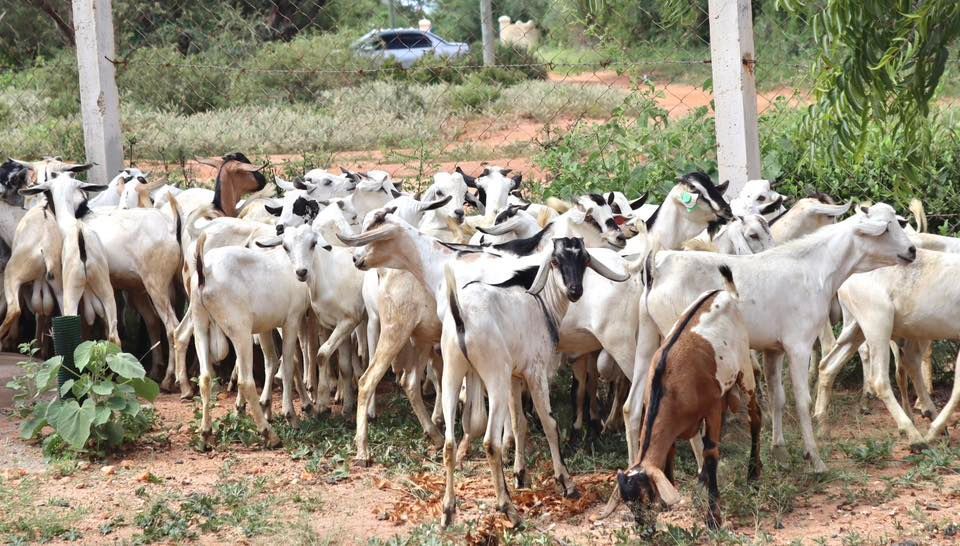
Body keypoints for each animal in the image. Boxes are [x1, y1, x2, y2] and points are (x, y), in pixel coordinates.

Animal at [616, 266, 758, 529]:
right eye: (628, 504)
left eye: (645, 498)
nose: (645, 531)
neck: (668, 383)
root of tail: (723, 293)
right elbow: (670, 452)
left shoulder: (711, 407)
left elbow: (711, 452)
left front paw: (713, 517)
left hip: (745, 367)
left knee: (756, 417)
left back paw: (754, 475)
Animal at [625, 203, 916, 472]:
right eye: (885, 228)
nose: (912, 250)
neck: (816, 268)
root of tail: (656, 265)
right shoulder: (798, 345)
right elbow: (802, 401)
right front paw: (815, 459)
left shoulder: (773, 349)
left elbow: (779, 398)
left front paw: (779, 450)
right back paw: (701, 466)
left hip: (649, 336)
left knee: (632, 406)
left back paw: (633, 466)